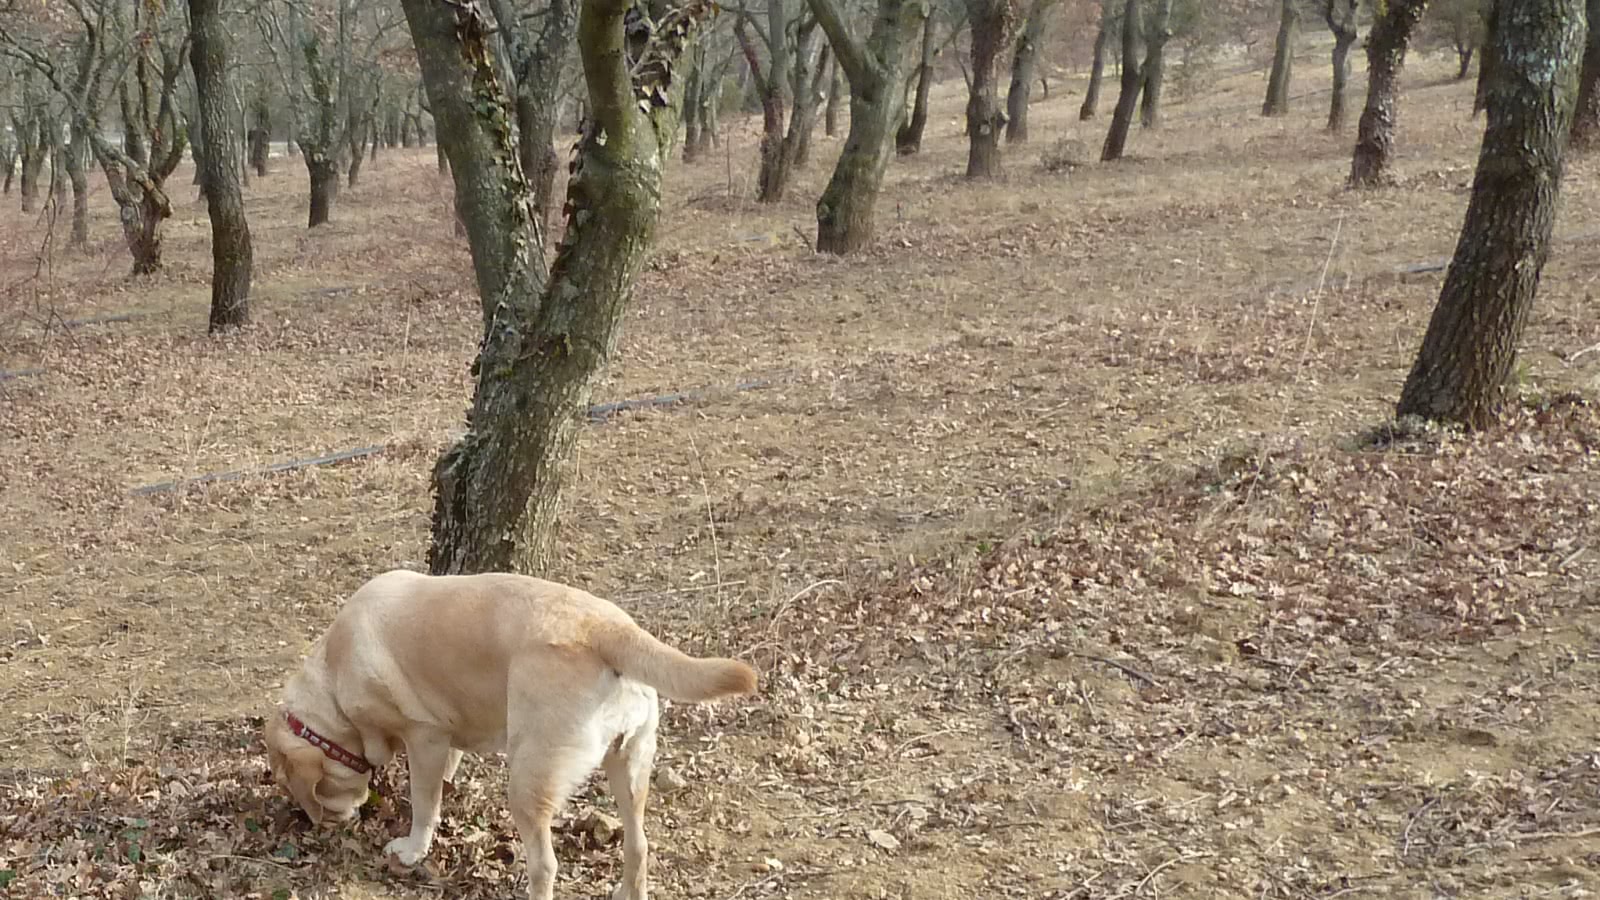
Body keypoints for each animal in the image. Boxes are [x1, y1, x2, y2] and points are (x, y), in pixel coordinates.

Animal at [265, 566, 758, 896]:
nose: (316, 823)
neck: (333, 679)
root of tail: (608, 627)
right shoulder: (447, 738)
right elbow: (447, 774)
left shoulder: (424, 737)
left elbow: (425, 802)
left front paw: (412, 848)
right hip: (630, 764)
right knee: (639, 848)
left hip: (527, 780)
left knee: (545, 865)